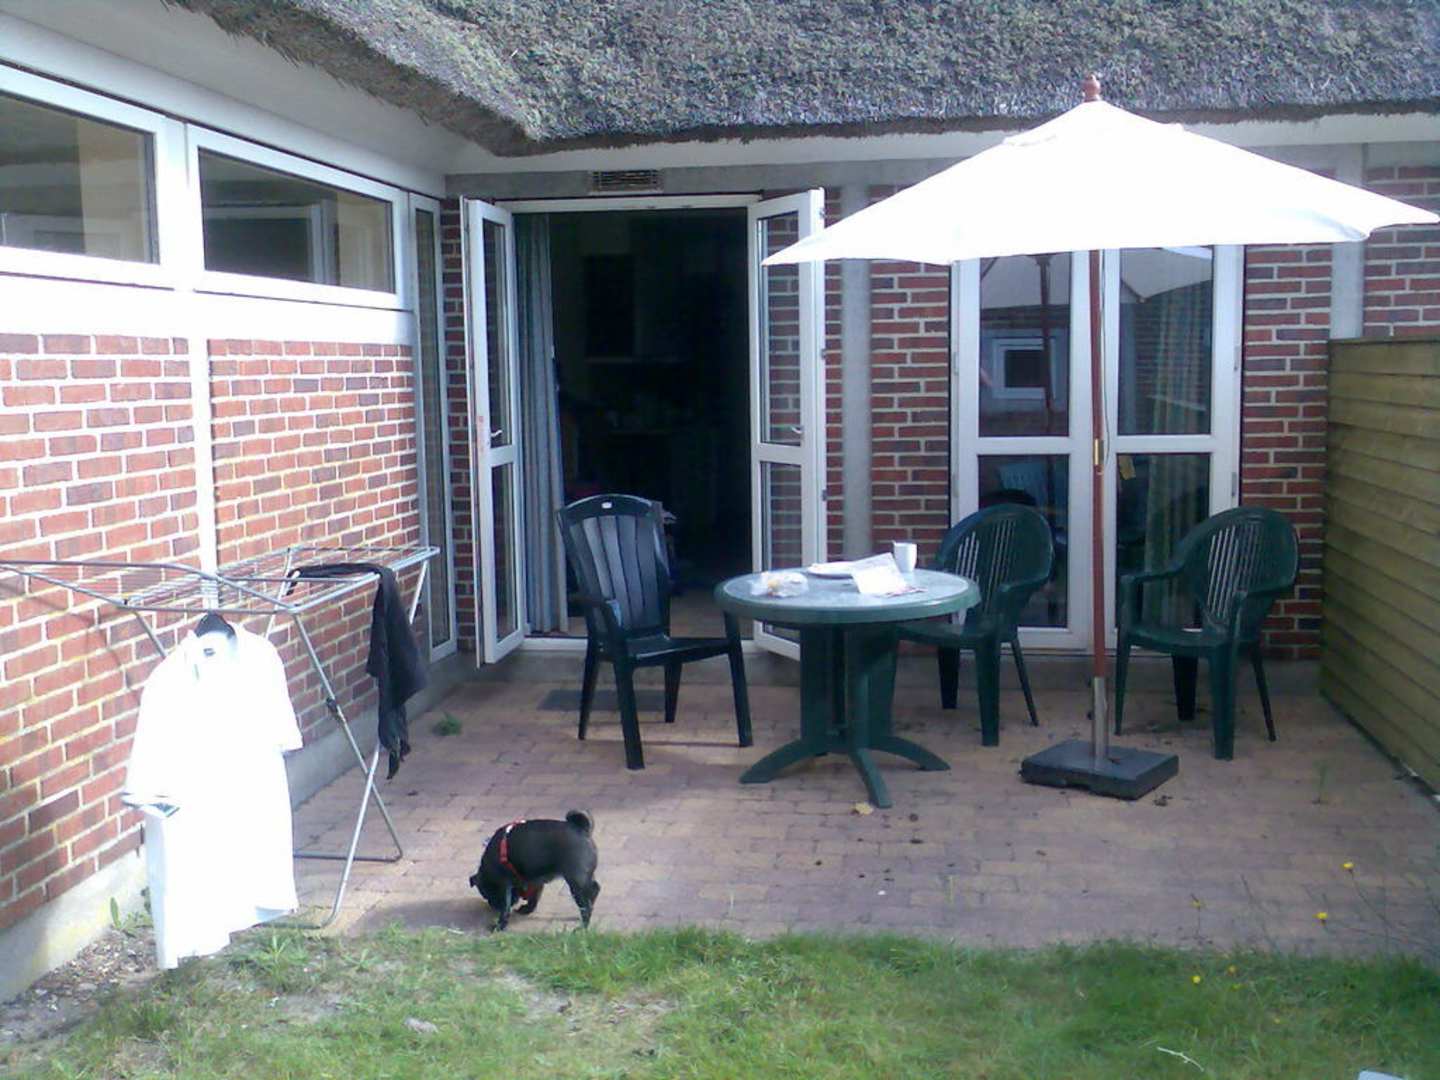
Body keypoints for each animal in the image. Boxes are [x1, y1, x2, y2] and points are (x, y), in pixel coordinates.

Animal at [467, 810, 600, 930]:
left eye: (487, 895)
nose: (492, 905)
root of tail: (581, 829)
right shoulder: (536, 881)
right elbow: (534, 898)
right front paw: (527, 909)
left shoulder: (504, 884)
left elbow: (506, 906)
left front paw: (500, 925)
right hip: (585, 877)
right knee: (594, 889)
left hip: (576, 882)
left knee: (586, 903)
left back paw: (582, 927)